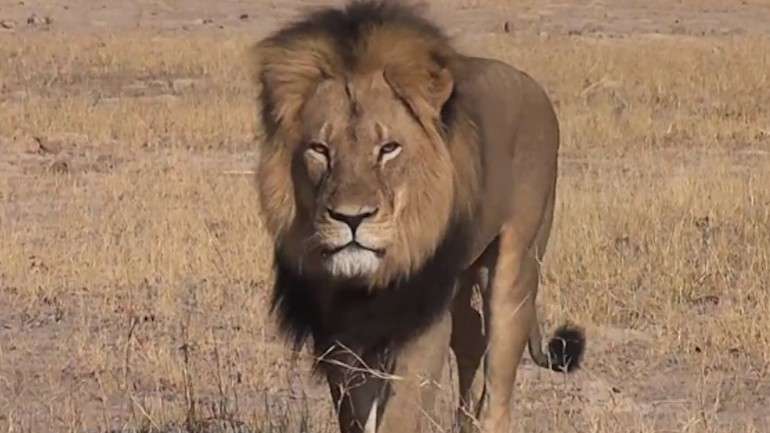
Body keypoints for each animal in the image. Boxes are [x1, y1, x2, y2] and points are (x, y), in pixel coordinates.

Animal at [251, 2, 585, 432]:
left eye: (388, 148)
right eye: (320, 149)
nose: (351, 218)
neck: (370, 278)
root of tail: (532, 85)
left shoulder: (422, 322)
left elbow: (401, 412)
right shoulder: (339, 331)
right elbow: (356, 414)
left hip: (516, 265)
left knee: (498, 382)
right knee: (471, 340)